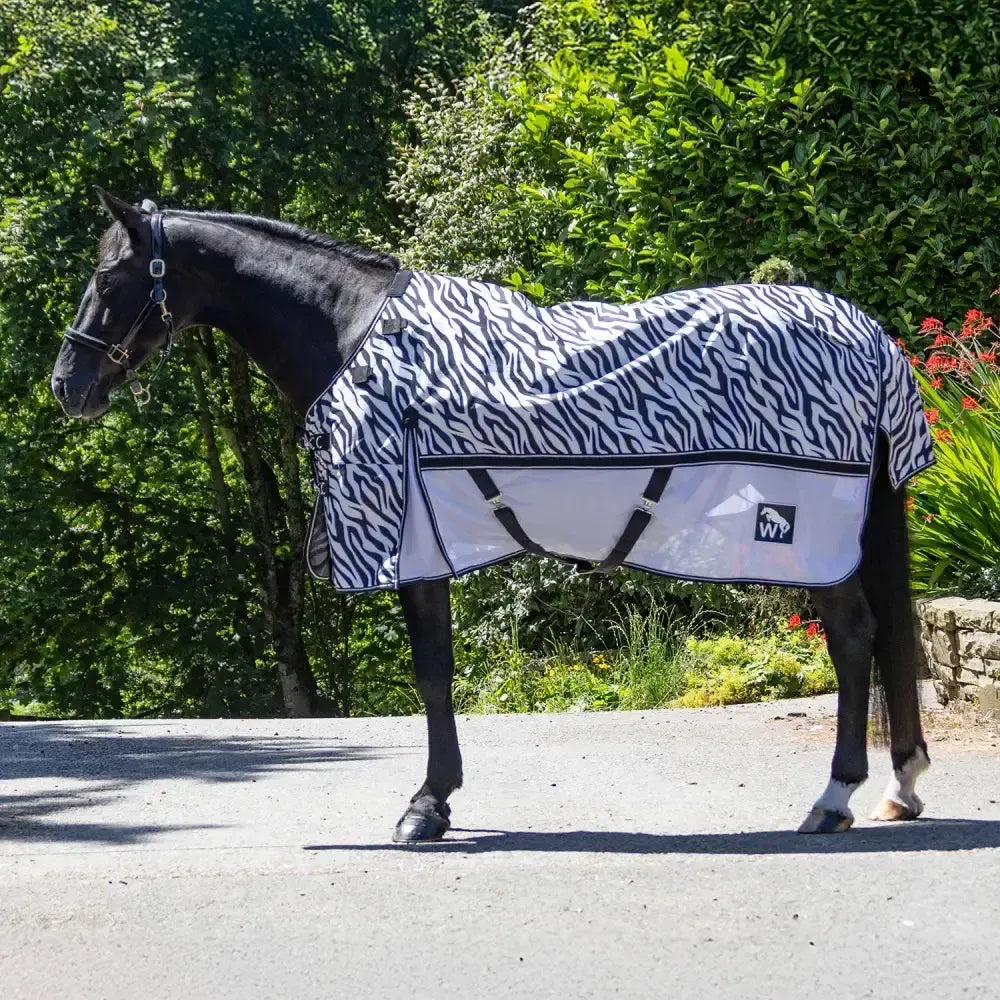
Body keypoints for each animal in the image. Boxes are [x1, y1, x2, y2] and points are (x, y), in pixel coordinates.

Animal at [51, 190, 931, 842]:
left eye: (112, 276)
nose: (67, 385)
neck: (355, 338)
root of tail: (871, 340)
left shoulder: (413, 542)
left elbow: (432, 673)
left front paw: (426, 806)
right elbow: (436, 671)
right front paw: (435, 800)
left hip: (806, 536)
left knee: (854, 638)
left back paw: (834, 797)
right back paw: (896, 784)